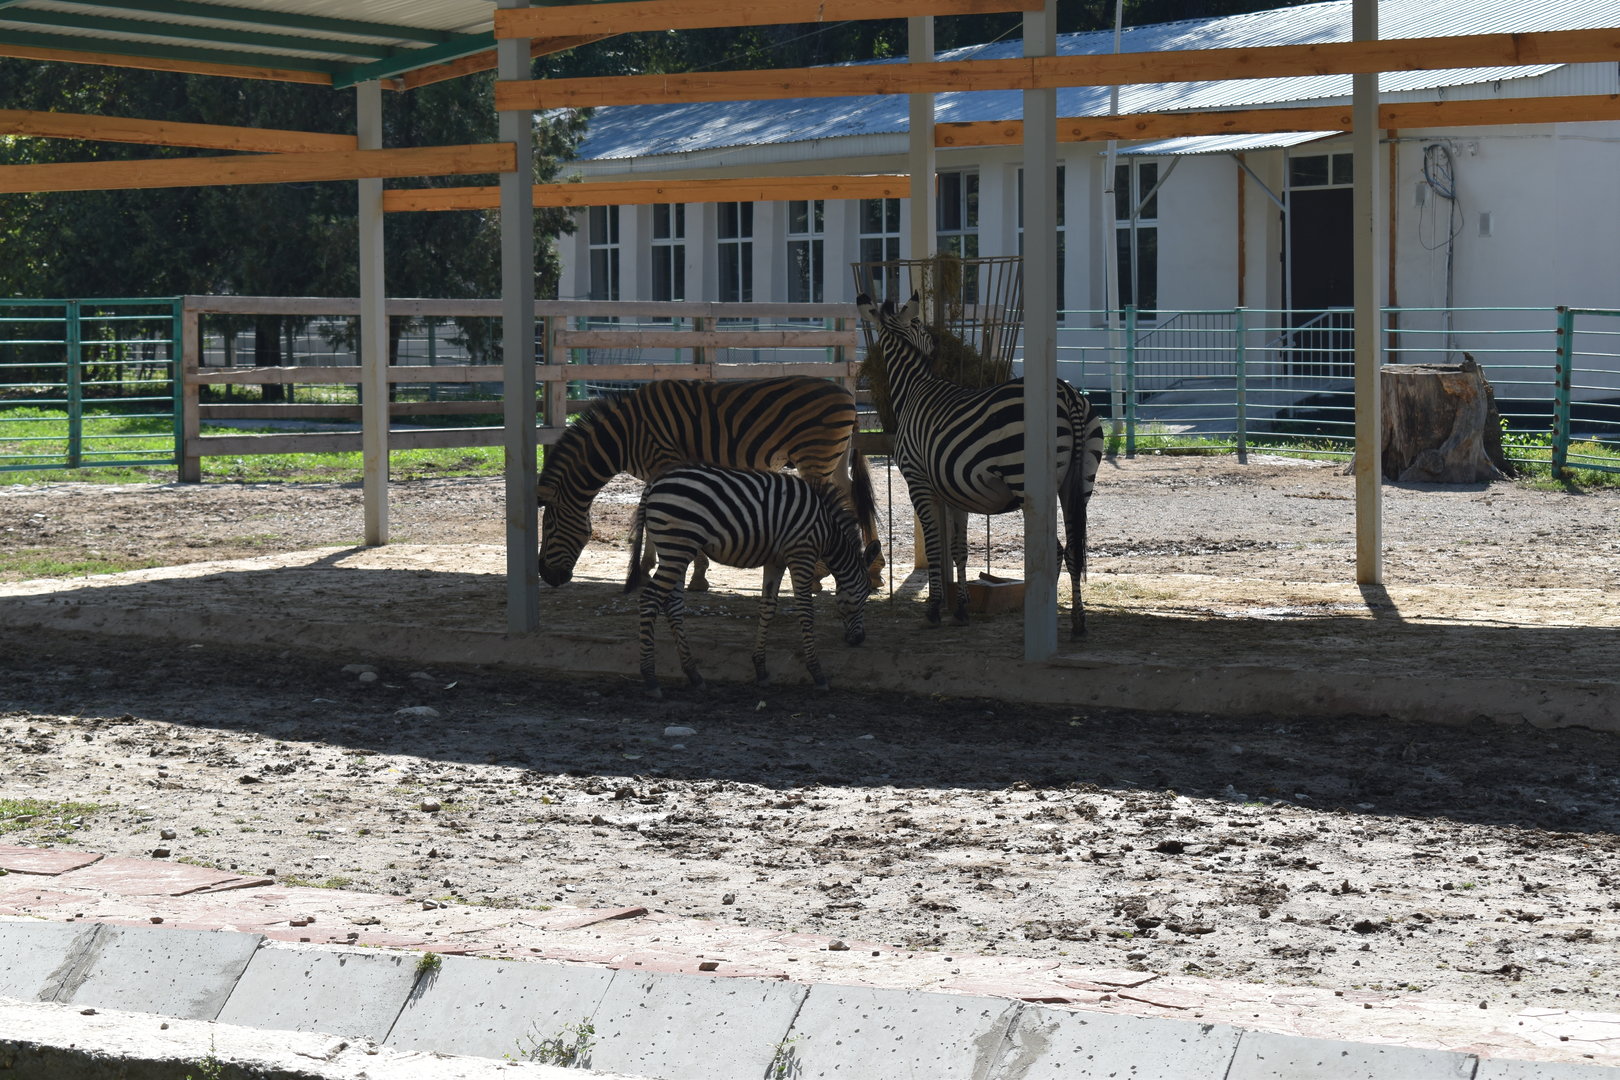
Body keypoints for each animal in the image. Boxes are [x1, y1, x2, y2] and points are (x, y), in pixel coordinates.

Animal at [536, 377, 880, 591]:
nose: (546, 577)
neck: (624, 435)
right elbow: (650, 512)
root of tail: (848, 396)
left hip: (815, 456)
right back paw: (873, 569)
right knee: (851, 498)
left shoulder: (666, 460)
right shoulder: (656, 471)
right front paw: (648, 568)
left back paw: (819, 575)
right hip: (834, 458)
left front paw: (693, 575)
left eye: (549, 526)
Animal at [624, 465, 882, 696]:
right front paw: (817, 673)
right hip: (677, 546)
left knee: (673, 605)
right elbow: (806, 610)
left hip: (676, 551)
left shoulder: (776, 560)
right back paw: (650, 679)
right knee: (650, 599)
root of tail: (654, 484)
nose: (859, 640)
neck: (826, 530)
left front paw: (761, 669)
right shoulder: (801, 554)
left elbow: (768, 607)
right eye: (864, 597)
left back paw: (694, 675)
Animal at [856, 291, 1105, 639]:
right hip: (1080, 481)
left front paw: (934, 610)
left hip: (1026, 477)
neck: (914, 388)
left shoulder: (918, 482)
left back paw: (1038, 615)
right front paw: (961, 609)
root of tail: (1066, 391)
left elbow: (934, 546)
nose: (939, 343)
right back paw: (1077, 622)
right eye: (919, 323)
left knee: (1054, 550)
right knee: (1072, 550)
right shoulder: (953, 491)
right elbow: (958, 549)